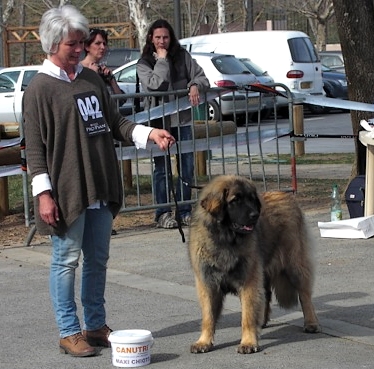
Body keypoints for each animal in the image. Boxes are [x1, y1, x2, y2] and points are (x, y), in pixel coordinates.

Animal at [188, 175, 320, 354]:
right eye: (235, 200)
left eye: (252, 199)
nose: (255, 215)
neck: (225, 240)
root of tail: (287, 195)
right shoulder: (207, 283)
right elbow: (208, 316)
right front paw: (204, 342)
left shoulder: (248, 280)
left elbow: (247, 315)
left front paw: (248, 342)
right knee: (266, 294)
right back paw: (262, 321)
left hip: (295, 265)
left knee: (305, 295)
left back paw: (311, 323)